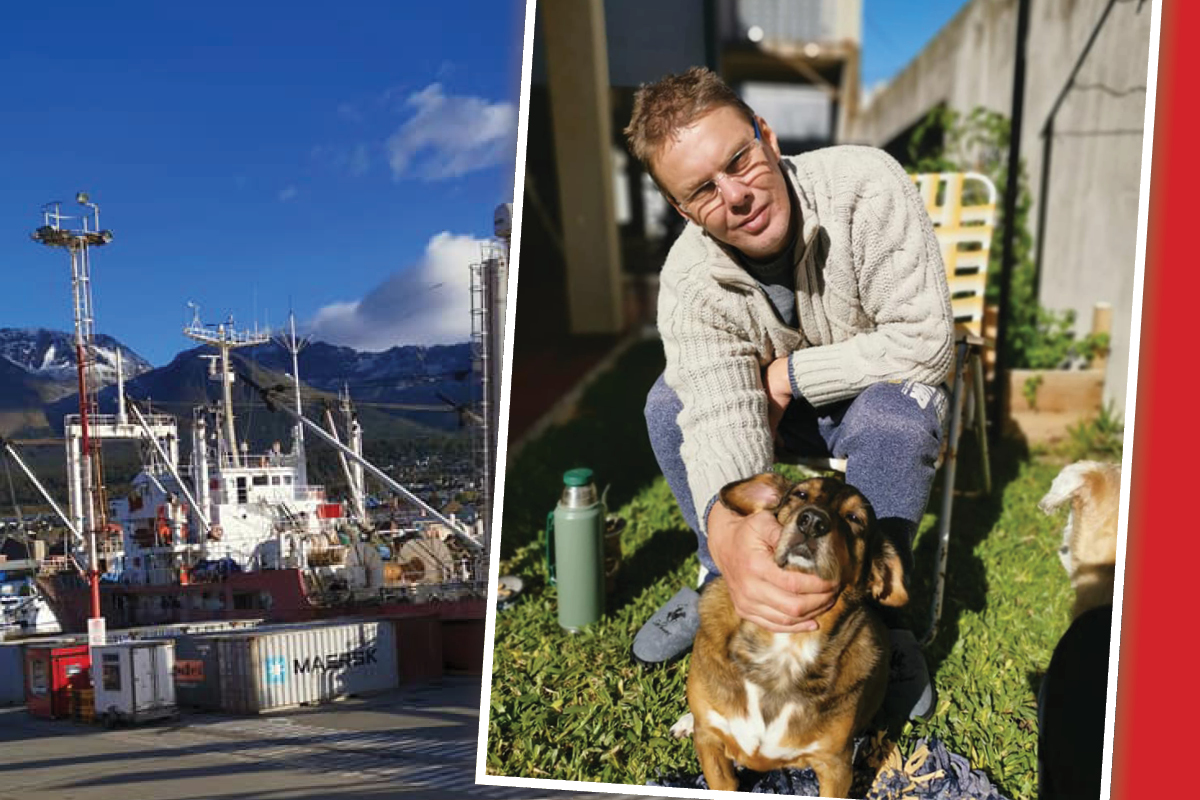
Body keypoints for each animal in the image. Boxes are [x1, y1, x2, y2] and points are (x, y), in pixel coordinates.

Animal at [672, 474, 902, 796]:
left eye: (855, 518)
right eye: (800, 494)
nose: (813, 522)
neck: (784, 648)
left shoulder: (836, 766)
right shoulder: (711, 747)